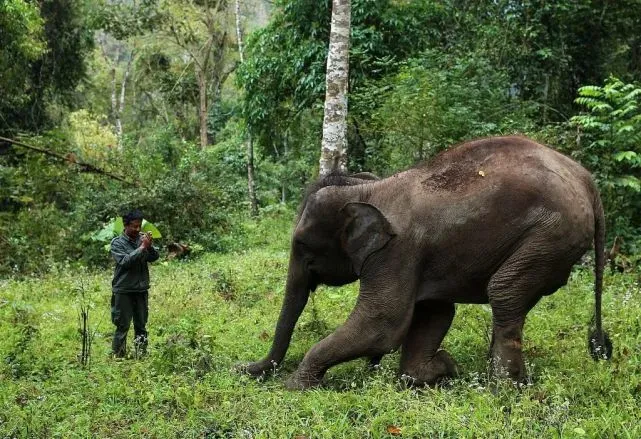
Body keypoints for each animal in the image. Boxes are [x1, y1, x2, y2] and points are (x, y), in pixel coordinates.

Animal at [240, 136, 608, 390]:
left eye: (301, 244)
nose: (240, 367)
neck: (369, 188)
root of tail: (587, 179)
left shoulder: (396, 251)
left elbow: (382, 322)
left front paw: (294, 386)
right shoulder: (420, 256)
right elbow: (435, 311)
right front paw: (440, 369)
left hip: (550, 234)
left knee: (503, 292)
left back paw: (502, 388)